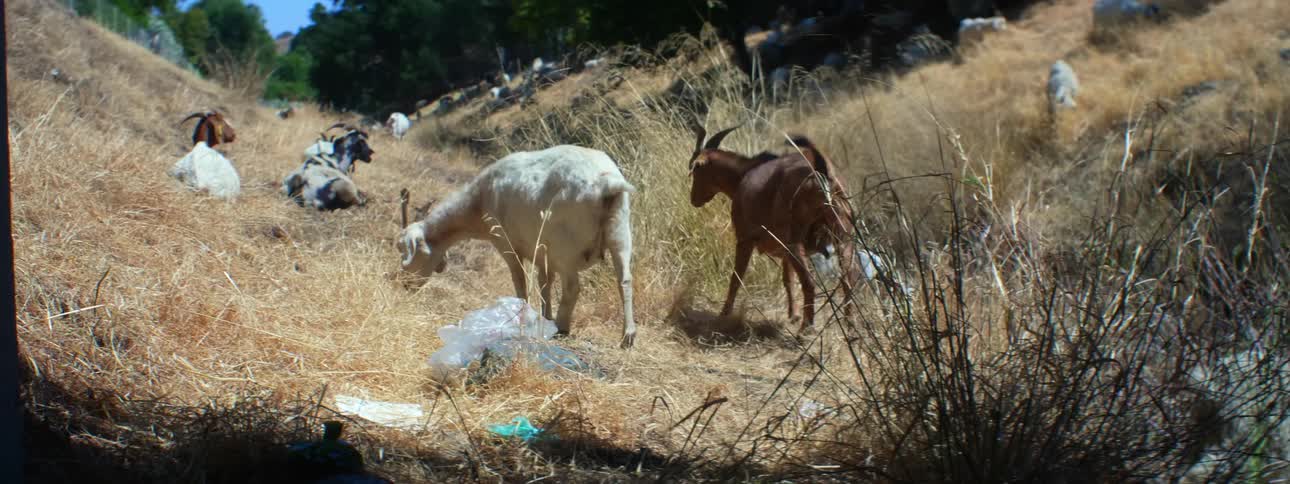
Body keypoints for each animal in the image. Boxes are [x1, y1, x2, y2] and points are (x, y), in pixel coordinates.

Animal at [397, 145, 638, 348]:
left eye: (404, 250)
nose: (405, 285)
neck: (477, 204)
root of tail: (607, 183)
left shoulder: (505, 241)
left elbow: (520, 279)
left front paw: (523, 313)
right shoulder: (543, 253)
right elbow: (544, 283)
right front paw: (544, 316)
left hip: (566, 246)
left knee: (572, 287)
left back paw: (562, 326)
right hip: (620, 231)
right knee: (624, 281)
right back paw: (628, 336)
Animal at [686, 124, 856, 330]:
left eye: (696, 171)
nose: (694, 199)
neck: (745, 173)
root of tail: (820, 170)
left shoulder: (745, 239)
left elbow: (736, 277)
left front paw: (724, 314)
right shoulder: (783, 252)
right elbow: (788, 279)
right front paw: (793, 314)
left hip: (795, 242)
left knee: (810, 283)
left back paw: (806, 328)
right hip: (844, 239)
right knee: (848, 280)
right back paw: (849, 323)